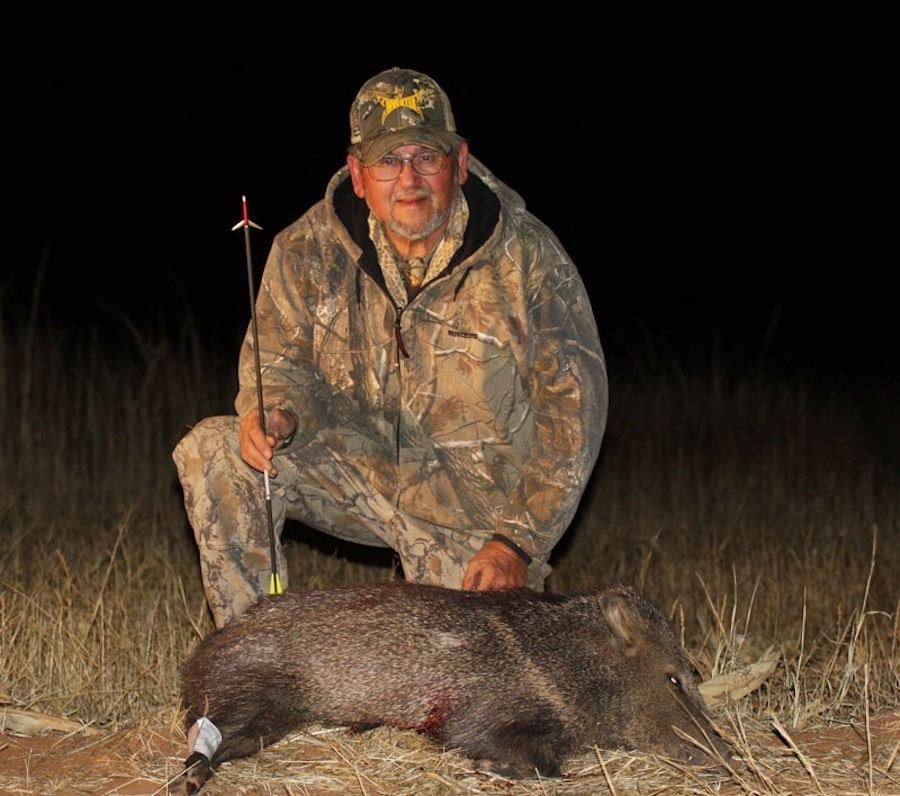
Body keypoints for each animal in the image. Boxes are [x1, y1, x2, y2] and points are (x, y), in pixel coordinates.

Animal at [176, 582, 729, 793]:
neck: (565, 667)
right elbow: (540, 762)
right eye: (674, 679)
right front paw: (491, 769)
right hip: (256, 695)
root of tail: (201, 656)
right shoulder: (477, 718)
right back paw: (192, 778)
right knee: (205, 739)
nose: (727, 759)